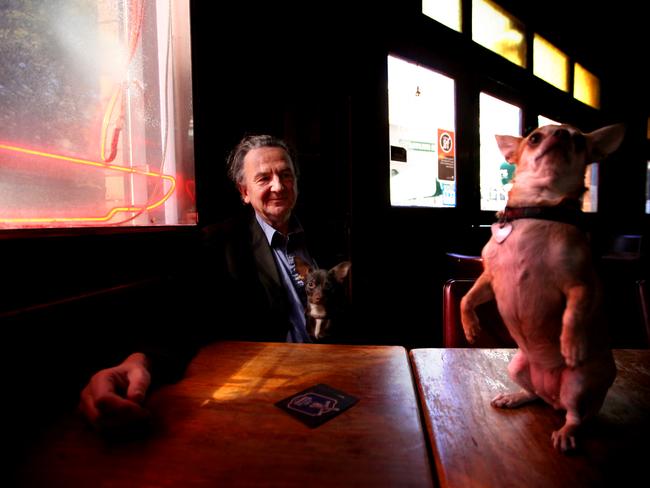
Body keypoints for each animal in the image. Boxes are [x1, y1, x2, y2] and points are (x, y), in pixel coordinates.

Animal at [458, 123, 624, 454]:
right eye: (534, 138)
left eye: (578, 140)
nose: (560, 134)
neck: (537, 210)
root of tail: (554, 398)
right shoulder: (490, 279)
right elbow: (466, 299)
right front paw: (470, 327)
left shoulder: (580, 284)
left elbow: (573, 315)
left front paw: (571, 344)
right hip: (517, 367)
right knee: (535, 394)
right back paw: (516, 396)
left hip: (577, 384)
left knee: (575, 415)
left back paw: (567, 431)